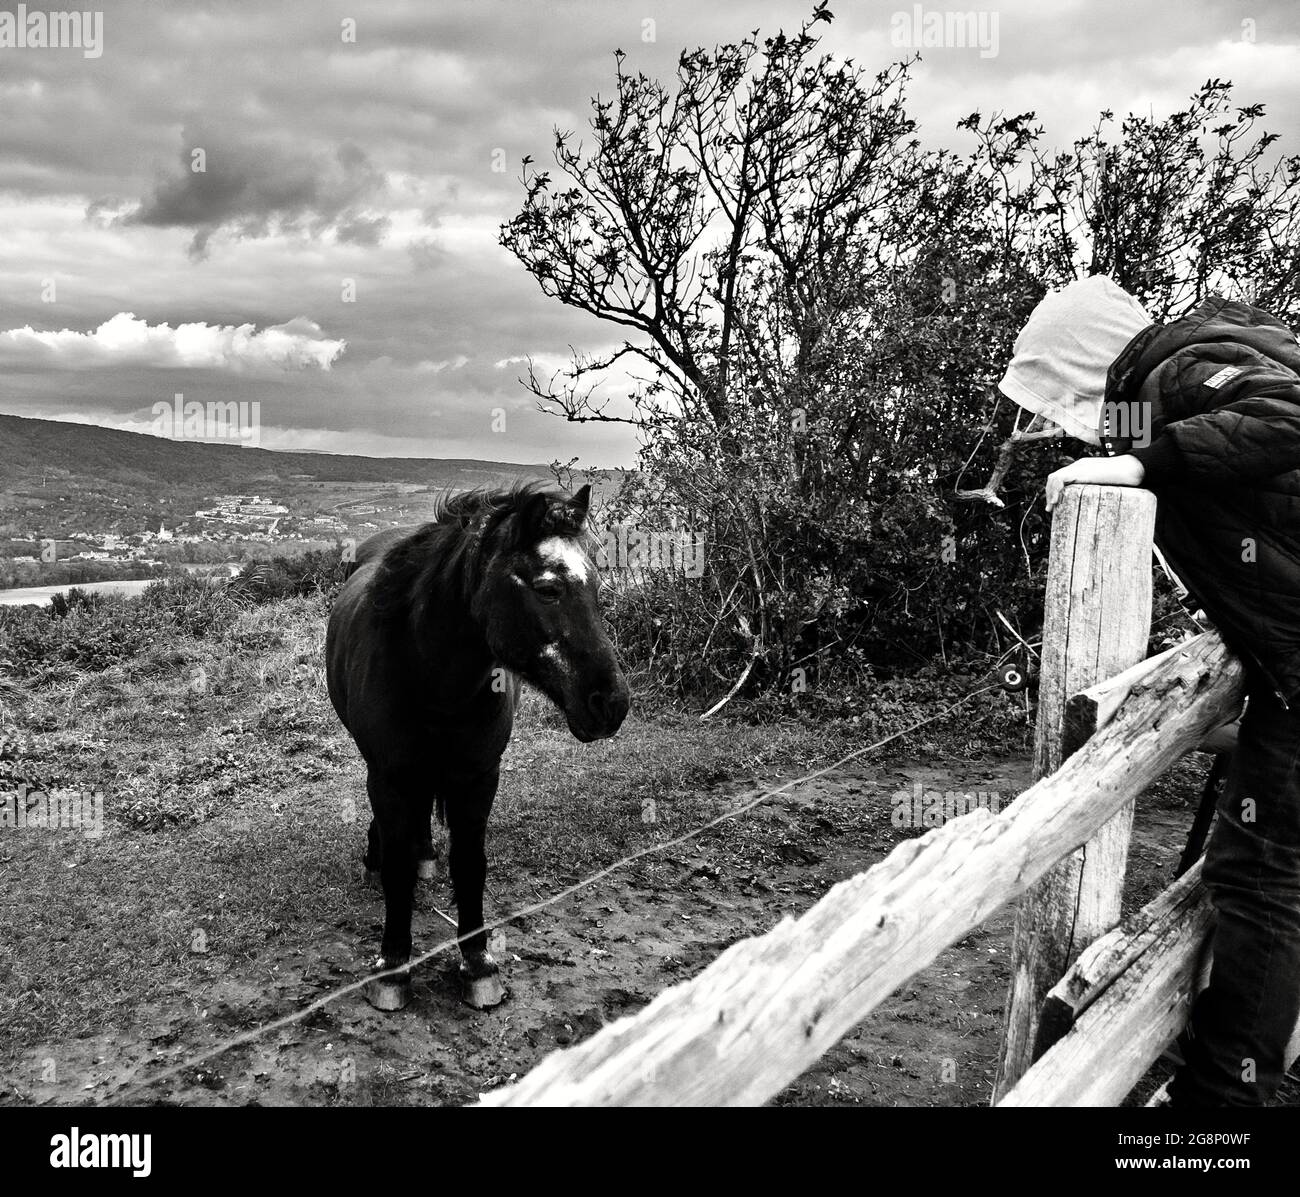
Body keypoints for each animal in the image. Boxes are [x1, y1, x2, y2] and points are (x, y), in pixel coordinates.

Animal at [325, 483, 629, 1008]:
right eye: (548, 589)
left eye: (595, 587)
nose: (611, 703)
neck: (428, 671)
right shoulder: (389, 775)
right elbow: (398, 870)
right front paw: (393, 966)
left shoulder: (480, 775)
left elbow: (471, 865)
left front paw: (477, 962)